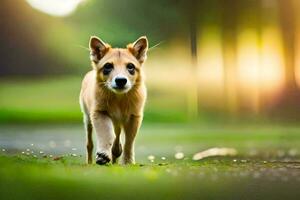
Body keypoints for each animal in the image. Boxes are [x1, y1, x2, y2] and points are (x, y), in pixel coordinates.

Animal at [79, 35, 148, 164]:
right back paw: (90, 161)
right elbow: (106, 133)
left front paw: (128, 161)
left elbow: (129, 141)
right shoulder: (99, 112)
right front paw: (103, 155)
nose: (120, 80)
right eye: (108, 66)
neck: (119, 99)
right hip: (87, 118)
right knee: (89, 143)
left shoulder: (134, 116)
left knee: (117, 135)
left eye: (130, 66)